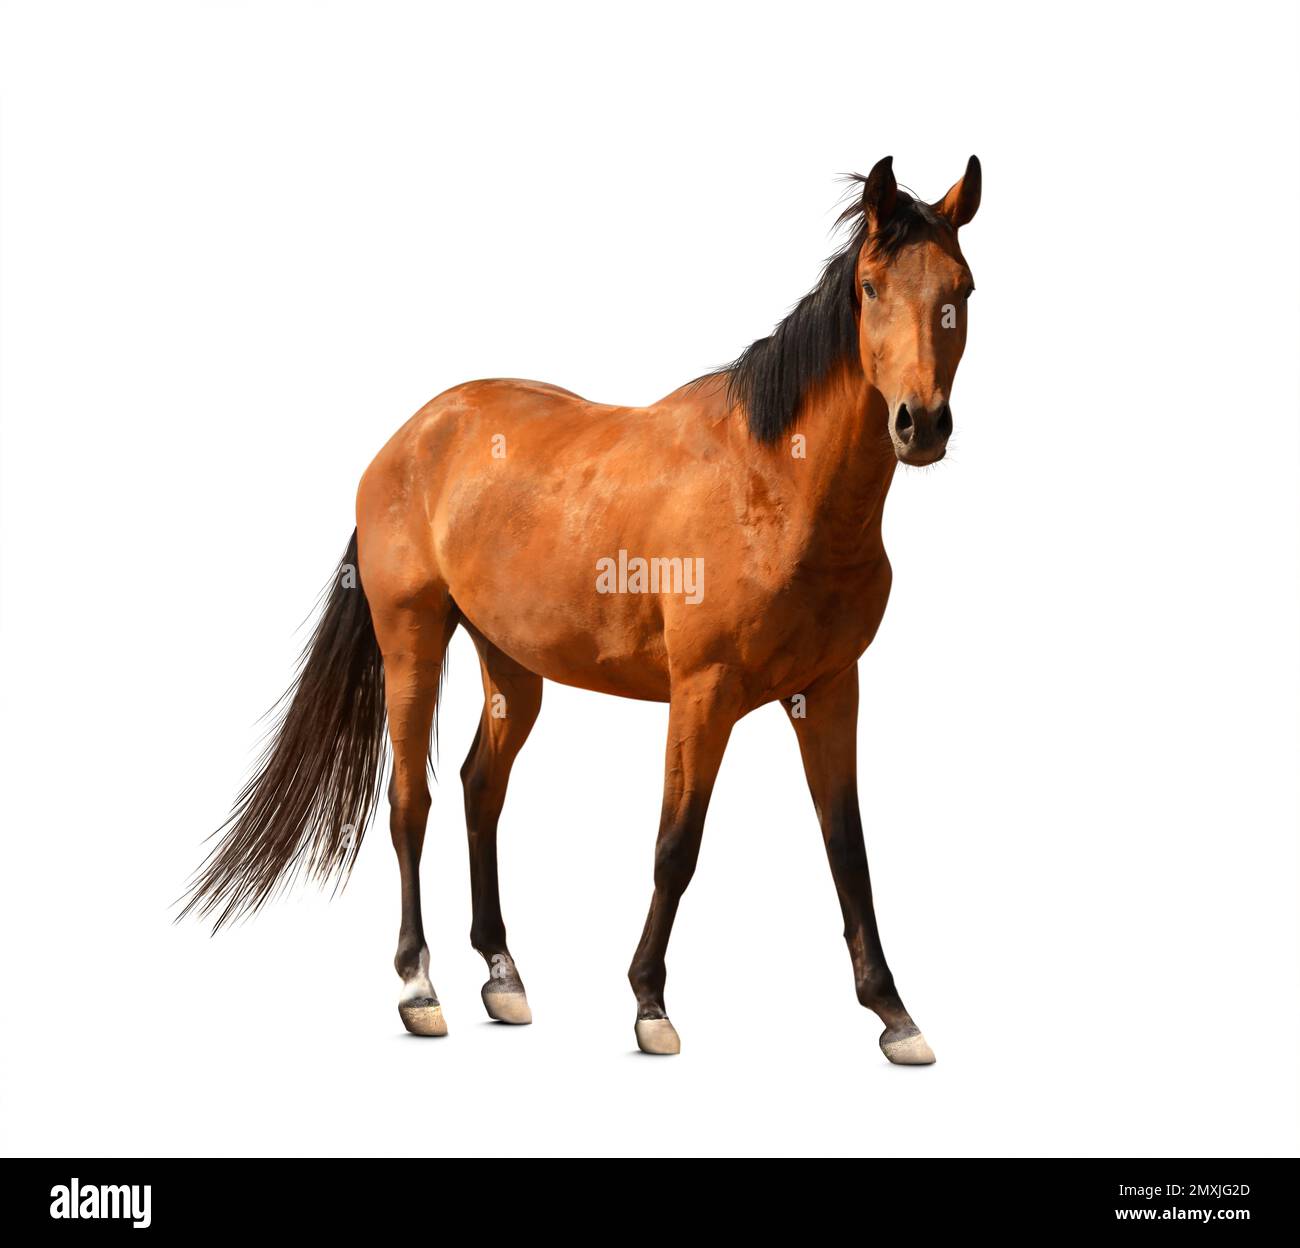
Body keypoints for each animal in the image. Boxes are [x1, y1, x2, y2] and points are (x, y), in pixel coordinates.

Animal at [183, 155, 981, 1062]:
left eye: (961, 288)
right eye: (872, 288)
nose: (921, 425)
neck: (777, 482)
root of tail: (408, 439)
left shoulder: (831, 688)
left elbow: (849, 851)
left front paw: (894, 1014)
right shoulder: (703, 693)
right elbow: (677, 846)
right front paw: (648, 1003)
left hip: (511, 665)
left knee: (479, 789)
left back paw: (502, 975)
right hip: (412, 641)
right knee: (410, 803)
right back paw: (419, 987)